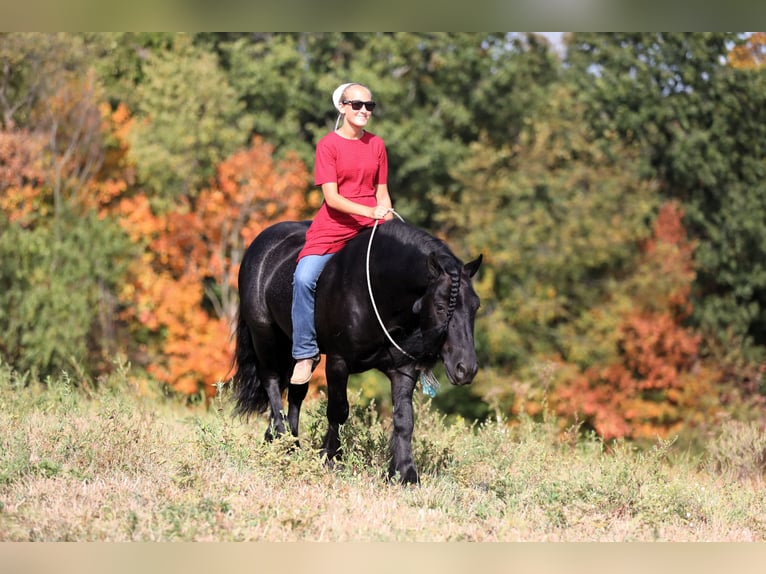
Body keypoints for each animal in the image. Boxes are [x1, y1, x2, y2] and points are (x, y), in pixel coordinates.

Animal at [234, 218, 484, 484]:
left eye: (476, 306)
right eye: (439, 306)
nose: (465, 369)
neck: (376, 288)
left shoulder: (403, 369)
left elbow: (404, 419)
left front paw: (405, 473)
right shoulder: (338, 362)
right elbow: (338, 411)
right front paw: (331, 459)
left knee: (296, 391)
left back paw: (284, 441)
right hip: (265, 337)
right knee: (271, 381)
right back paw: (285, 443)